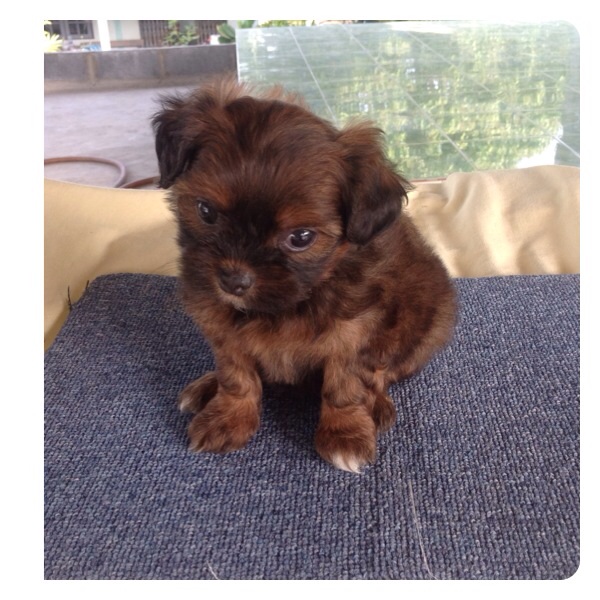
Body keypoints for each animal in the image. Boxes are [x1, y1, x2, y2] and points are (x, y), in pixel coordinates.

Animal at [152, 78, 456, 472]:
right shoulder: (220, 323)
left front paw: (345, 434)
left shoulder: (354, 333)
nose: (233, 281)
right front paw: (228, 417)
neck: (291, 302)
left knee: (383, 373)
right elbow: (236, 375)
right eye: (205, 211)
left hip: (428, 324)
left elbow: (345, 384)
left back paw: (376, 405)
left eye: (300, 238)